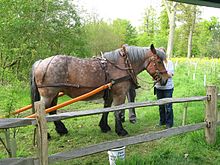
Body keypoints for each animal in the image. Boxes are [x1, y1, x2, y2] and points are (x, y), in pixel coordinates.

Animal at [30, 44, 168, 137]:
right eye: (159, 61)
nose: (166, 79)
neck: (123, 64)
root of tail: (40, 62)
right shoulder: (120, 94)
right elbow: (117, 111)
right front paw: (120, 130)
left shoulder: (110, 94)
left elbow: (106, 109)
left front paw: (104, 126)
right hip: (48, 95)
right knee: (41, 113)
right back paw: (46, 135)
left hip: (54, 94)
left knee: (52, 111)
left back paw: (61, 130)